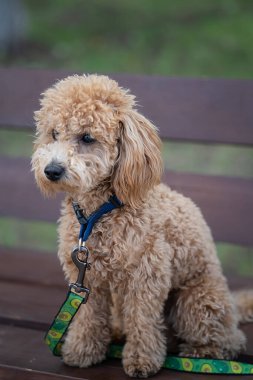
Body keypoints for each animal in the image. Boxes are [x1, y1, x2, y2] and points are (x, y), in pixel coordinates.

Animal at [32, 74, 252, 378]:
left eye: (87, 137)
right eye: (53, 133)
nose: (51, 171)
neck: (100, 211)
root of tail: (231, 304)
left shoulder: (147, 273)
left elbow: (142, 320)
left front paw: (141, 360)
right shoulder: (86, 277)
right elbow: (88, 315)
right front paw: (82, 351)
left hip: (196, 302)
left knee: (229, 340)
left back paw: (204, 353)